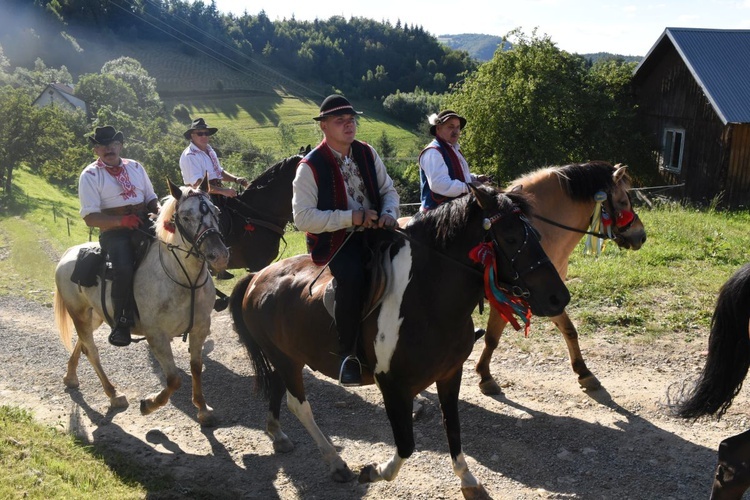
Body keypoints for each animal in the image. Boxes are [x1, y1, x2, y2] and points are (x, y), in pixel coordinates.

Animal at [54, 179, 229, 426]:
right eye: (185, 217)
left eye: (216, 211)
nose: (219, 255)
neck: (183, 279)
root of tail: (69, 253)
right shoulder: (157, 335)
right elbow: (174, 379)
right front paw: (148, 405)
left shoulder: (200, 329)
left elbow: (196, 367)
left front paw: (203, 409)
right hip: (78, 313)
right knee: (92, 350)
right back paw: (114, 394)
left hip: (95, 315)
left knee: (83, 344)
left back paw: (70, 377)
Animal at [229, 185, 568, 500]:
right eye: (510, 238)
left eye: (535, 234)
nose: (559, 298)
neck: (425, 301)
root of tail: (257, 277)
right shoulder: (392, 386)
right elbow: (405, 445)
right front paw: (372, 471)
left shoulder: (449, 373)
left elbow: (453, 427)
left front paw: (469, 480)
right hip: (286, 359)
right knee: (299, 405)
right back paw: (336, 462)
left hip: (285, 357)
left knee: (276, 386)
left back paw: (278, 434)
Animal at [476, 161, 648, 394]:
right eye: (622, 201)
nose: (641, 235)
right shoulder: (509, 297)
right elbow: (492, 338)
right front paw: (485, 376)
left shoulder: (550, 298)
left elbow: (569, 330)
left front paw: (584, 372)